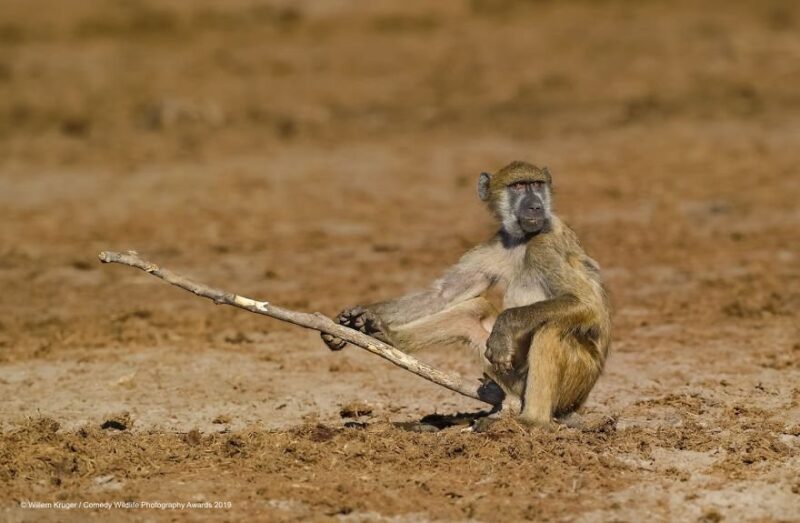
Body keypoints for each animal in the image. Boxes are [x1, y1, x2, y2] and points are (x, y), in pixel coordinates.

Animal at [321, 161, 611, 427]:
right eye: (518, 186)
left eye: (537, 185)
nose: (535, 207)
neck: (523, 240)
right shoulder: (493, 246)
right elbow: (442, 295)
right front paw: (358, 317)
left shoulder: (546, 244)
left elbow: (586, 304)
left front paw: (504, 327)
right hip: (513, 378)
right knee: (471, 312)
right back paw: (385, 335)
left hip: (576, 382)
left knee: (551, 329)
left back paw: (532, 422)